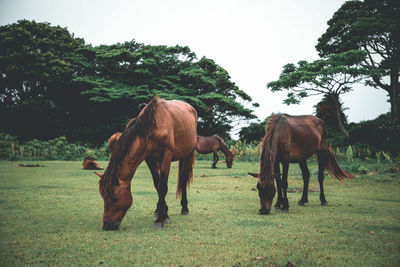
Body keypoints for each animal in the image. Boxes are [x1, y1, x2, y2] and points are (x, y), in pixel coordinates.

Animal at [95, 97, 198, 231]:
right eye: (103, 196)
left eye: (114, 197)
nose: (107, 225)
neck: (154, 127)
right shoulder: (150, 160)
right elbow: (157, 185)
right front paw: (163, 213)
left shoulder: (166, 157)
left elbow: (162, 187)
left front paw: (160, 220)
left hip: (188, 155)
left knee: (184, 179)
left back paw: (184, 208)